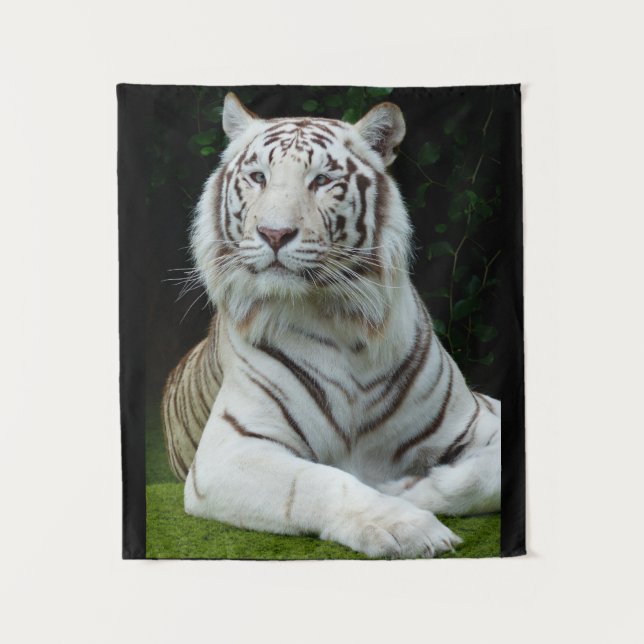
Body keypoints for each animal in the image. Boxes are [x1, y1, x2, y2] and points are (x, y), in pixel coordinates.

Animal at [161, 92, 501, 558]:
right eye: (258, 177)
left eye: (321, 180)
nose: (274, 233)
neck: (345, 325)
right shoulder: (228, 451)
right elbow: (320, 482)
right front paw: (407, 525)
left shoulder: (480, 419)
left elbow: (488, 476)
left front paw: (408, 489)